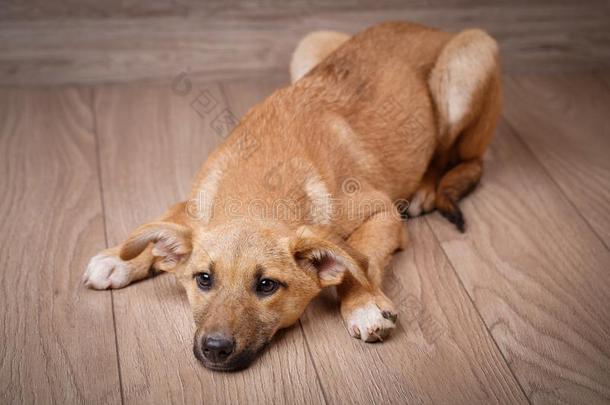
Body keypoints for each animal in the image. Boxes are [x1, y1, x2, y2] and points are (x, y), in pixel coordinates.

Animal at [82, 21, 498, 370]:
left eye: (266, 285)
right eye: (203, 279)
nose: (214, 349)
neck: (259, 185)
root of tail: (433, 28)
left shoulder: (382, 211)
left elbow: (360, 261)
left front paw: (364, 304)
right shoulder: (192, 204)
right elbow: (162, 224)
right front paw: (119, 257)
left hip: (468, 61)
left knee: (465, 160)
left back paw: (427, 186)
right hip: (311, 45)